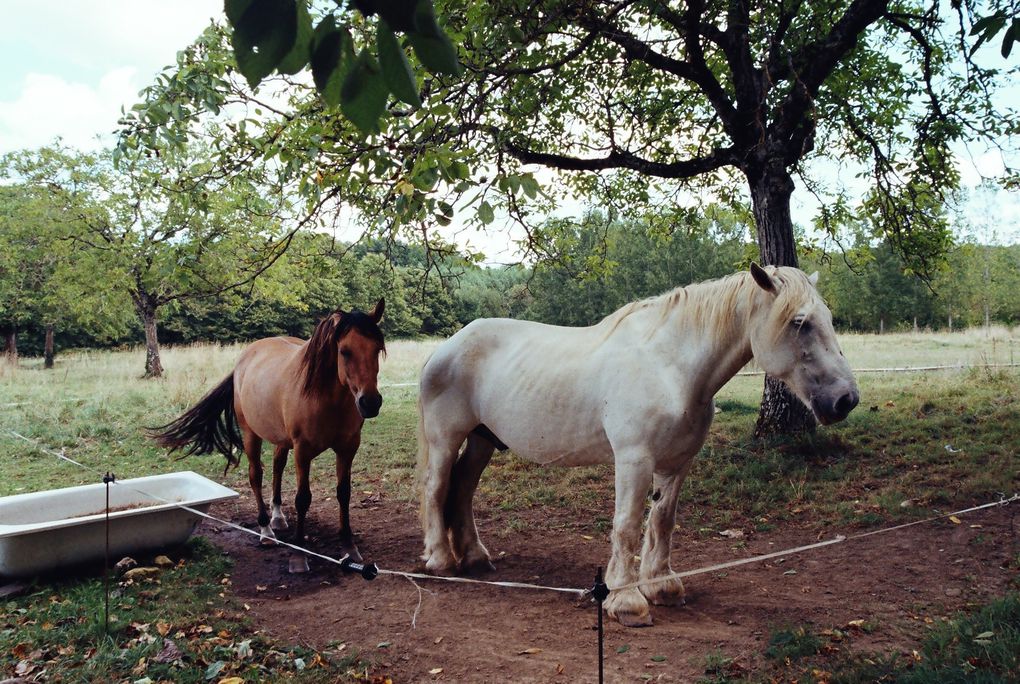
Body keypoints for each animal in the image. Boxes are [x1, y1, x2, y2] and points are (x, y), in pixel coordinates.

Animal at [150, 301, 385, 570]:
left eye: (377, 349)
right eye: (344, 351)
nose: (370, 403)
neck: (326, 398)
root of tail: (243, 361)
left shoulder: (347, 448)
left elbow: (343, 493)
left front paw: (349, 547)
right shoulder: (303, 451)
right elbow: (303, 499)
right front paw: (299, 555)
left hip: (281, 441)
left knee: (277, 468)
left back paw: (278, 517)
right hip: (251, 435)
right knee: (256, 475)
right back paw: (265, 530)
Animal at [414, 267, 852, 627]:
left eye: (827, 320)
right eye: (799, 322)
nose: (845, 399)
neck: (670, 367)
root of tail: (446, 346)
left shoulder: (676, 463)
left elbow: (662, 520)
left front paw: (661, 585)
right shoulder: (633, 460)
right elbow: (626, 524)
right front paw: (626, 600)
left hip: (482, 440)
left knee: (463, 490)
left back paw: (475, 556)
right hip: (445, 439)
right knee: (436, 489)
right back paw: (441, 560)